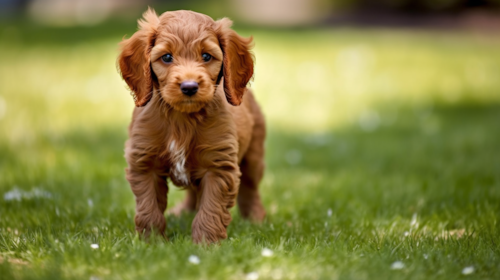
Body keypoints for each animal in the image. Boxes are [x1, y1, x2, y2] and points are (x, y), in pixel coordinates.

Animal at [117, 9, 266, 243]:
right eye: (167, 57)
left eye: (206, 56)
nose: (189, 87)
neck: (181, 119)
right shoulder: (144, 163)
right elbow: (149, 208)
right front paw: (152, 242)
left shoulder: (218, 166)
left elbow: (210, 209)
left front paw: (206, 244)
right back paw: (182, 212)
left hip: (253, 156)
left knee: (250, 189)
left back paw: (256, 220)